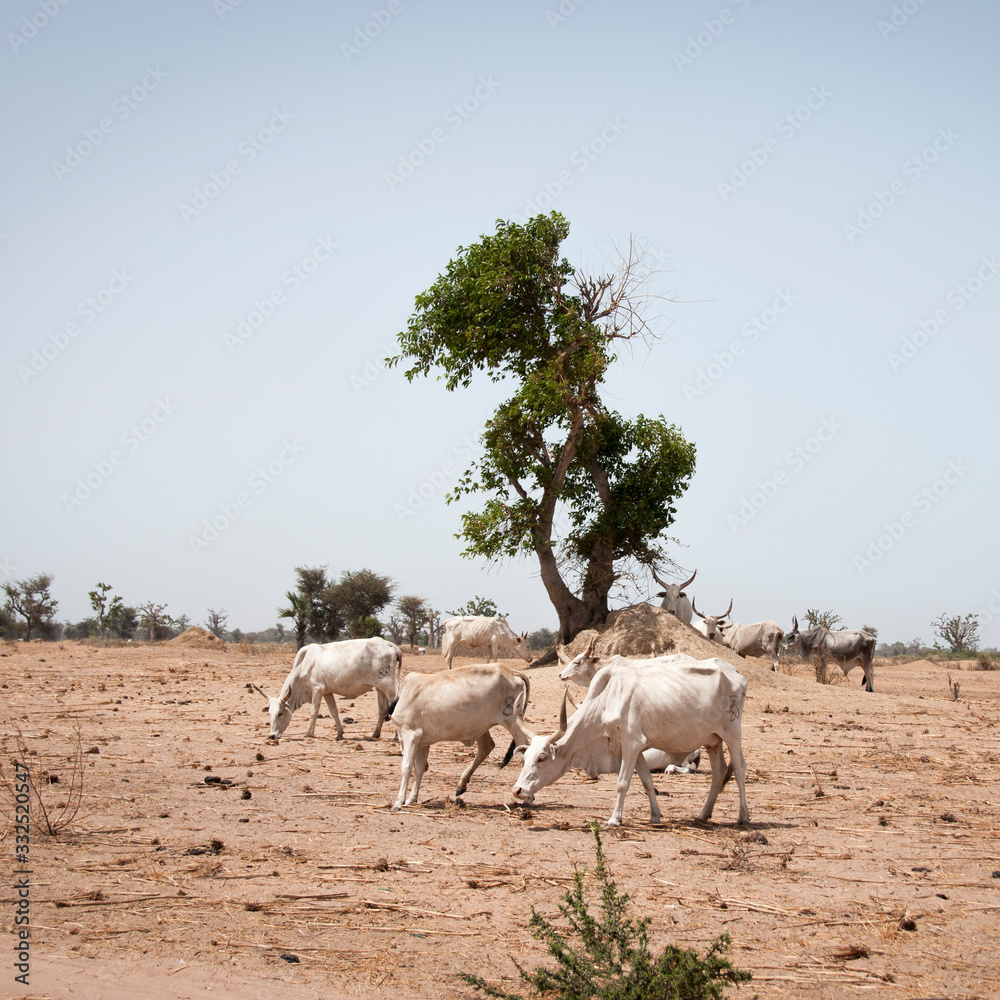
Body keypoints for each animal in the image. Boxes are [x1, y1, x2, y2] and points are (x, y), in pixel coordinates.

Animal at [259, 637, 402, 741]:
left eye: (280, 713)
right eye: (270, 713)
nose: (272, 735)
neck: (304, 666)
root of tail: (390, 645)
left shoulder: (317, 689)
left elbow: (314, 711)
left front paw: (309, 733)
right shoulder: (327, 691)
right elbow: (334, 711)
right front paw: (339, 733)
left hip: (388, 685)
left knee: (395, 706)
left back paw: (396, 737)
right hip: (379, 687)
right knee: (382, 709)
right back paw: (375, 734)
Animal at [390, 664, 531, 810]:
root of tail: (510, 671)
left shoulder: (411, 735)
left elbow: (406, 767)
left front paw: (398, 802)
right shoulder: (423, 742)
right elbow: (419, 768)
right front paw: (411, 799)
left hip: (512, 720)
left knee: (524, 745)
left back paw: (528, 798)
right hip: (483, 726)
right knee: (487, 746)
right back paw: (461, 785)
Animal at [512, 655, 749, 827]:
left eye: (541, 758)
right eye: (525, 758)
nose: (517, 790)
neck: (606, 698)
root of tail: (736, 672)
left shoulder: (632, 744)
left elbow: (622, 783)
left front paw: (614, 819)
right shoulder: (633, 748)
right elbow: (647, 781)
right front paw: (655, 816)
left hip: (732, 732)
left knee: (739, 768)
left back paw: (743, 816)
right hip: (713, 741)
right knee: (719, 772)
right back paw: (703, 814)